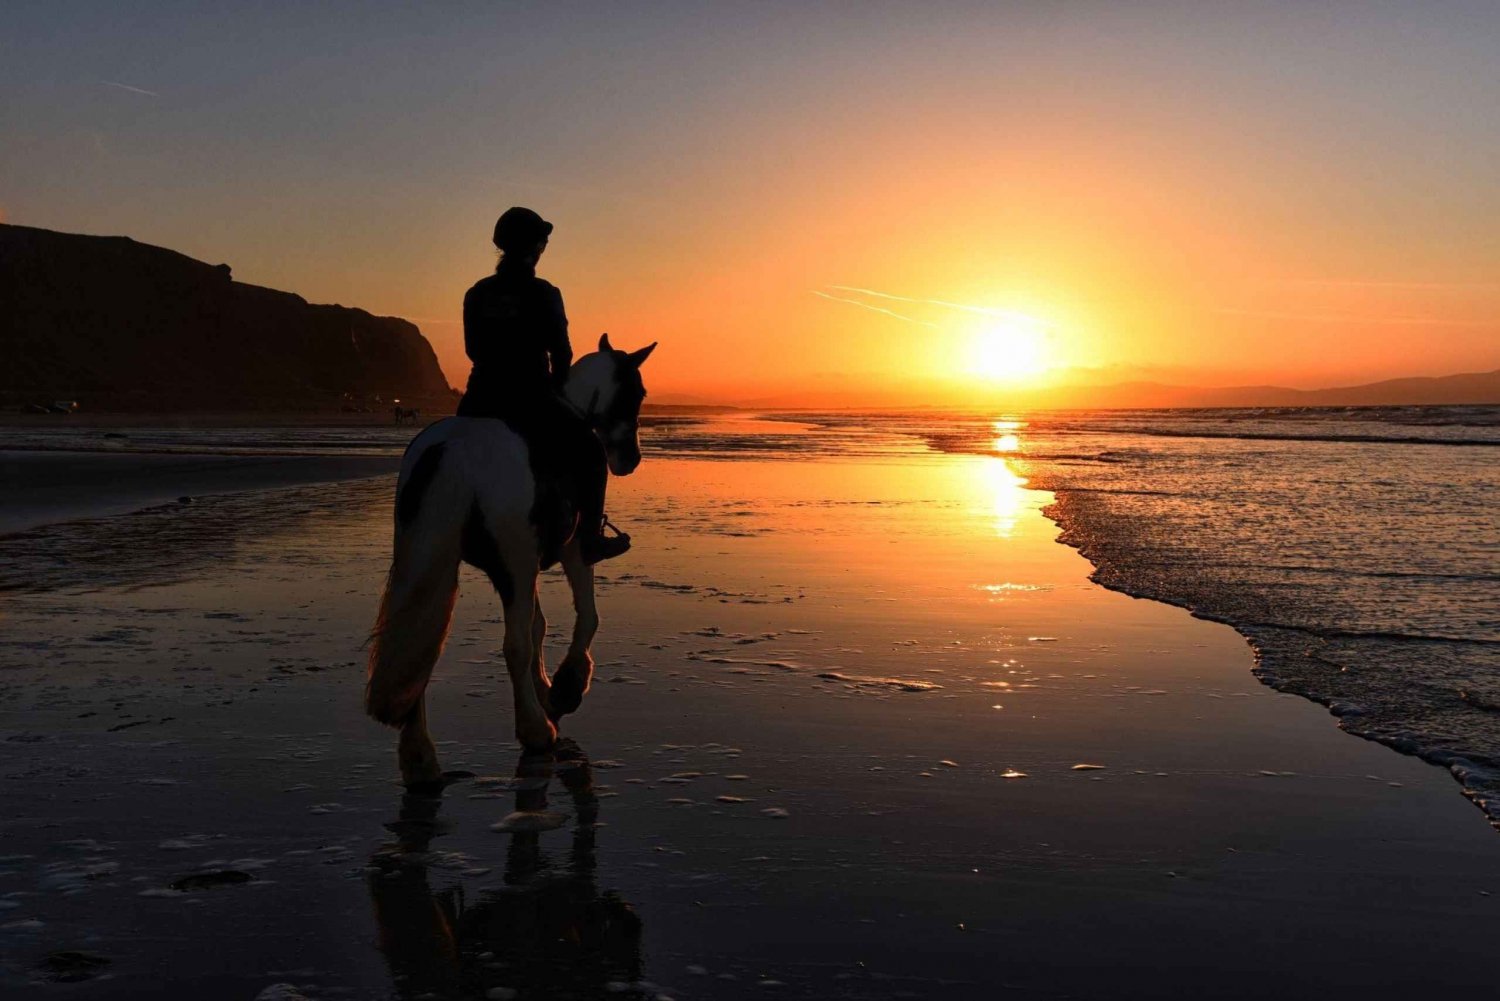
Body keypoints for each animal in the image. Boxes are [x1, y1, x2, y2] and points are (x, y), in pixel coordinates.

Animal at [366, 336, 654, 792]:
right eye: (637, 392)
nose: (631, 459)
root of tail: (453, 450)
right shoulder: (569, 551)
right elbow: (584, 618)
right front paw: (567, 687)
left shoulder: (524, 566)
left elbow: (538, 625)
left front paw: (546, 687)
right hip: (515, 563)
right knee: (511, 645)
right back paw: (536, 731)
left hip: (431, 562)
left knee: (418, 641)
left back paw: (420, 760)